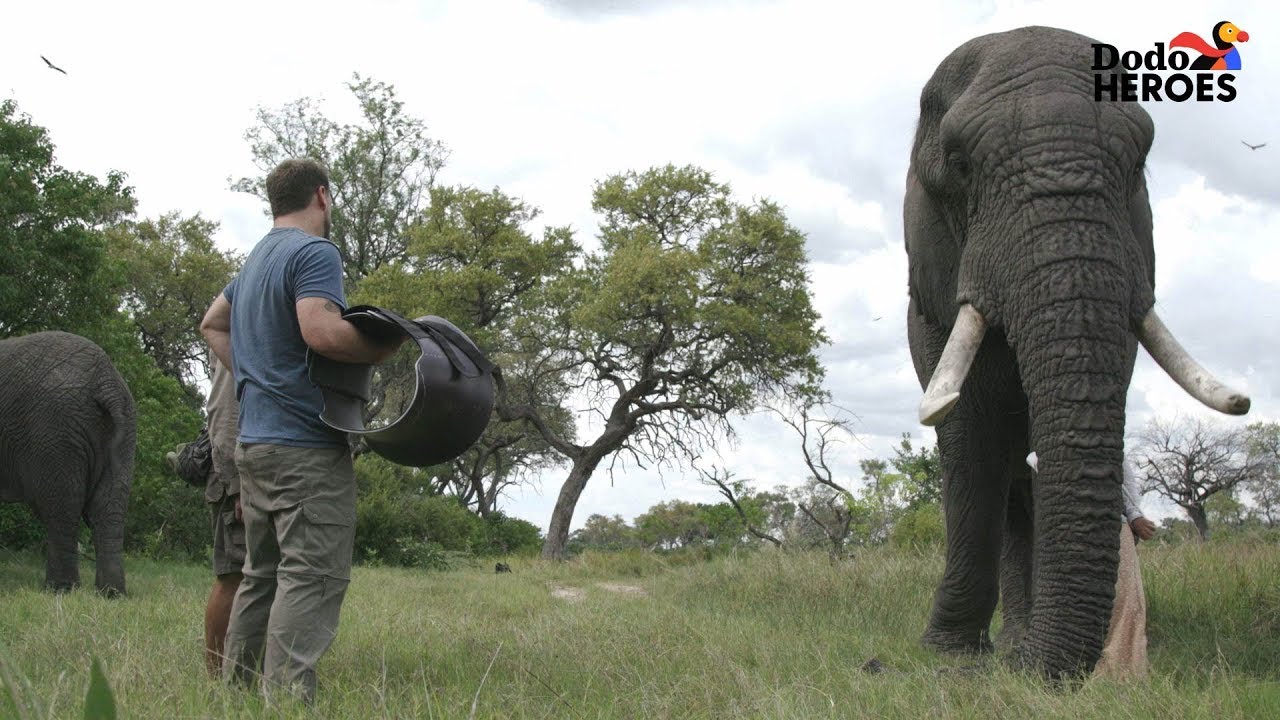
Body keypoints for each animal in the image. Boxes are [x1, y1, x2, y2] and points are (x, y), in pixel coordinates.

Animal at [0, 331, 135, 596]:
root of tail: (106, 380)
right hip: (124, 427)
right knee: (109, 506)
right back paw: (111, 593)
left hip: (54, 428)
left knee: (62, 507)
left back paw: (59, 590)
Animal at [903, 26, 1250, 680]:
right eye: (961, 167)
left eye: (1138, 166)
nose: (1032, 672)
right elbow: (971, 434)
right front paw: (951, 656)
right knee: (1009, 474)